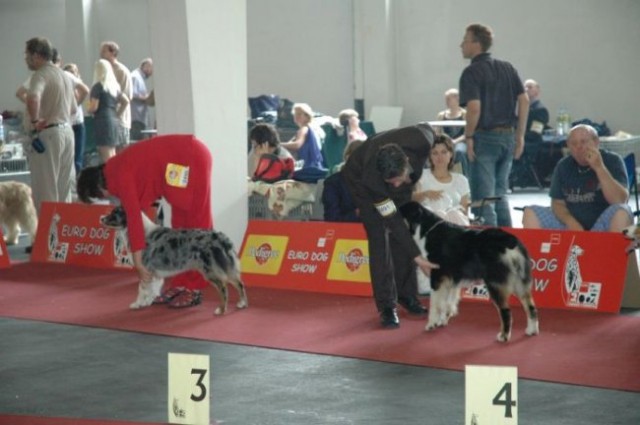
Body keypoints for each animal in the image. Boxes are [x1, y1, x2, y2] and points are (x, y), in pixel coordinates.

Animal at [101, 207, 249, 314]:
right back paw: (242, 303)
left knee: (223, 287)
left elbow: (142, 289)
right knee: (239, 283)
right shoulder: (154, 273)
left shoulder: (145, 269)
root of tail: (222, 237)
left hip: (211, 269)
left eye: (114, 213)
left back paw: (221, 310)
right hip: (226, 266)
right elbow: (152, 288)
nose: (101, 217)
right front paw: (148, 302)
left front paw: (137, 304)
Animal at [402, 200, 536, 342]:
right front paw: (443, 320)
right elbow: (447, 302)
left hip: (495, 282)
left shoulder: (437, 276)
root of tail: (509, 240)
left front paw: (431, 324)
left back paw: (503, 336)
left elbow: (435, 304)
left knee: (506, 310)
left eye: (400, 212)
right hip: (520, 280)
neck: (425, 230)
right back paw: (531, 330)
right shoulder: (451, 279)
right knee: (530, 306)